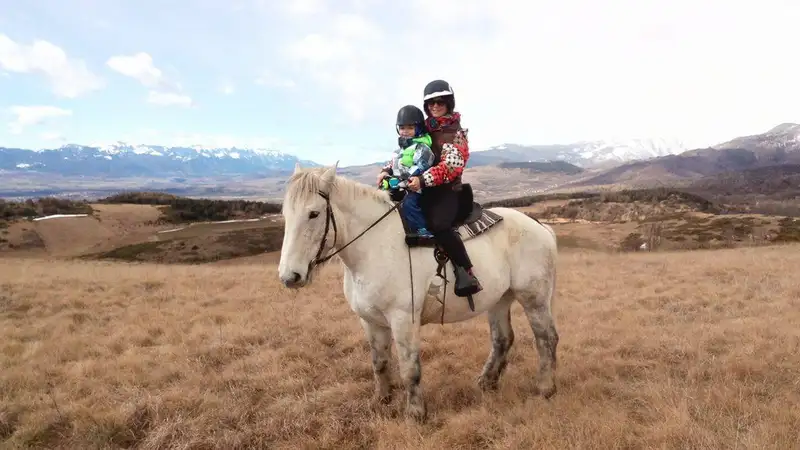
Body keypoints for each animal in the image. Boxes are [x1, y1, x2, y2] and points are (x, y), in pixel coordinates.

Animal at [277, 162, 560, 422]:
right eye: (285, 214)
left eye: (314, 213)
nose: (290, 277)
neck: (374, 246)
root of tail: (541, 226)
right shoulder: (370, 321)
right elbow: (379, 362)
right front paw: (381, 400)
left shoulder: (403, 319)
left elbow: (409, 368)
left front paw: (415, 413)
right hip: (500, 299)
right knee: (503, 339)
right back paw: (486, 382)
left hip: (534, 298)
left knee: (546, 338)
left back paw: (545, 388)